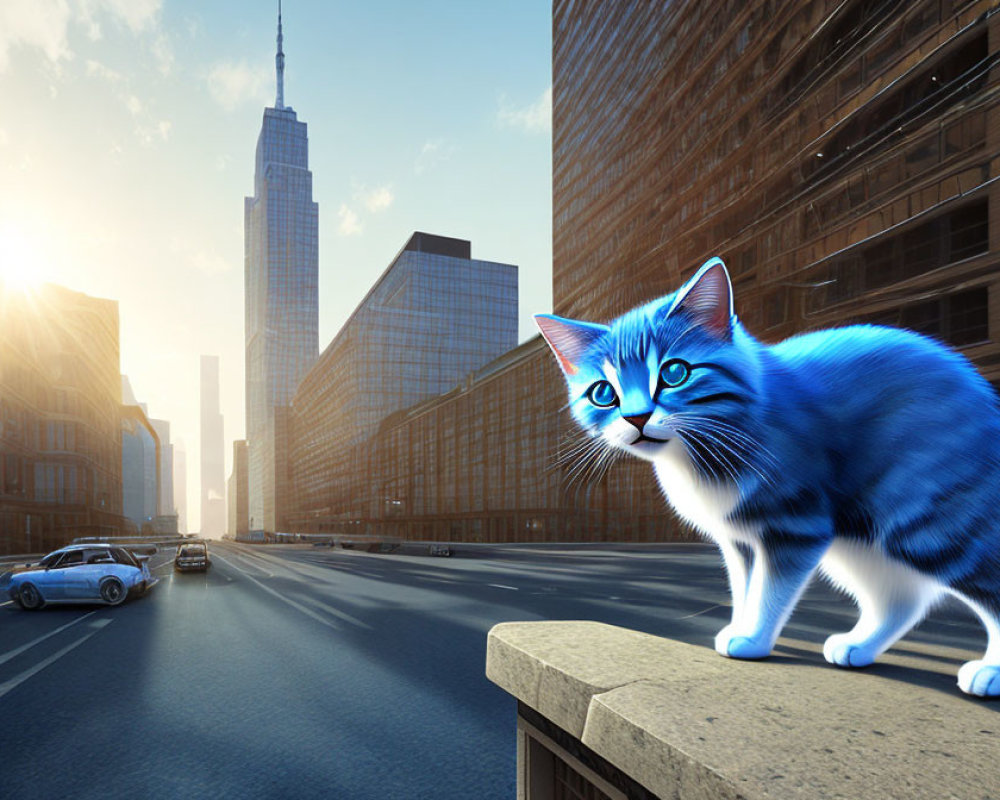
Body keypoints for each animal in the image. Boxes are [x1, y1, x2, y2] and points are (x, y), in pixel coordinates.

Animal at [540, 260, 1000, 696]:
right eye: (603, 393)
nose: (635, 418)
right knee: (901, 599)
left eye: (674, 372)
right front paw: (740, 628)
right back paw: (860, 645)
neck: (699, 453)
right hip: (859, 542)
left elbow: (769, 591)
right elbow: (745, 587)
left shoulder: (794, 525)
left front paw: (754, 639)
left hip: (931, 518)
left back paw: (989, 672)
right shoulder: (738, 539)